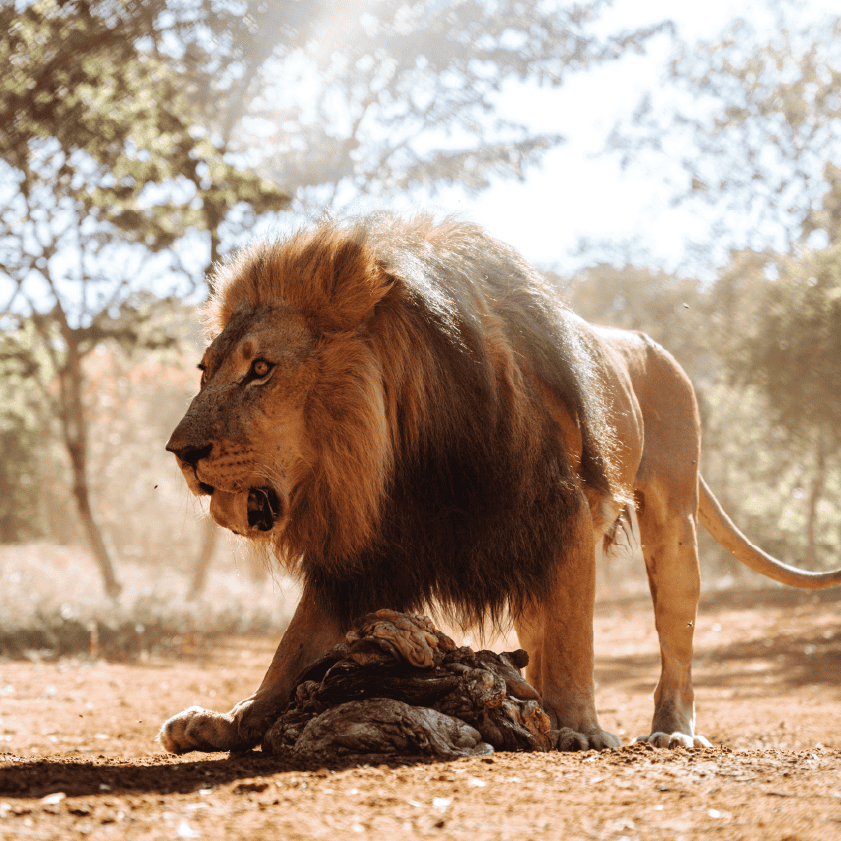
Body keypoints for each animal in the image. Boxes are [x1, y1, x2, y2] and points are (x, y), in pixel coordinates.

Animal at [160, 214, 841, 754]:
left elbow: (575, 640)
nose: (181, 453)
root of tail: (652, 343)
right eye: (205, 370)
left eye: (261, 369)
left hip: (672, 514)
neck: (399, 450)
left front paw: (580, 727)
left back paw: (669, 728)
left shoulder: (561, 513)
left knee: (675, 632)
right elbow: (294, 645)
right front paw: (234, 718)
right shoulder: (367, 550)